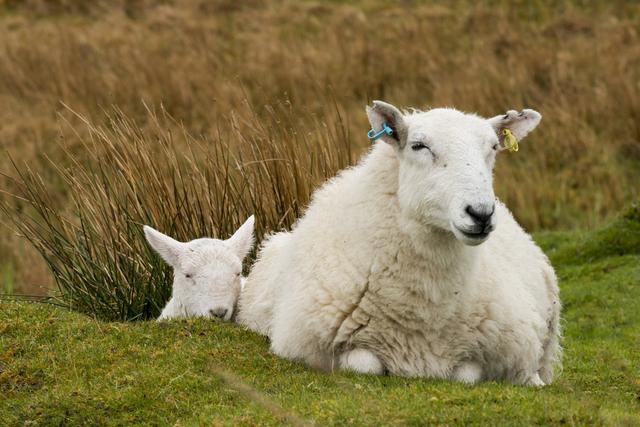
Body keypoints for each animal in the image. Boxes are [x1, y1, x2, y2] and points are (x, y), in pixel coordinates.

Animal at [235, 103, 560, 388]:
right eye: (419, 146)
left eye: (493, 147)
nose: (480, 213)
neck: (427, 305)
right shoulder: (308, 344)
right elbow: (364, 364)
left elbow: (467, 374)